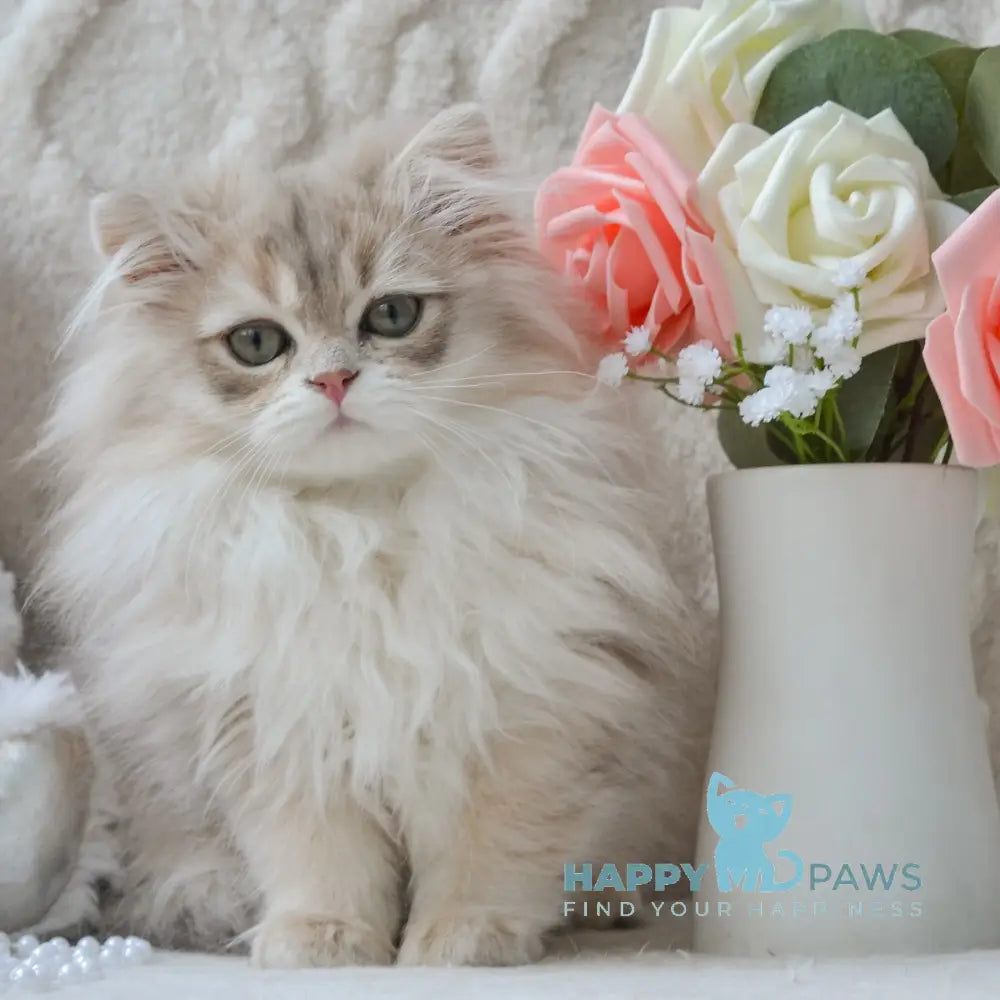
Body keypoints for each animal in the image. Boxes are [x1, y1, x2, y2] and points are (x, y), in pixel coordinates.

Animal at [34, 105, 715, 967]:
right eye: (256, 342)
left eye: (391, 316)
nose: (333, 380)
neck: (362, 525)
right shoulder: (277, 727)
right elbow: (322, 861)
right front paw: (322, 941)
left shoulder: (531, 706)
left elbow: (492, 851)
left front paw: (462, 940)